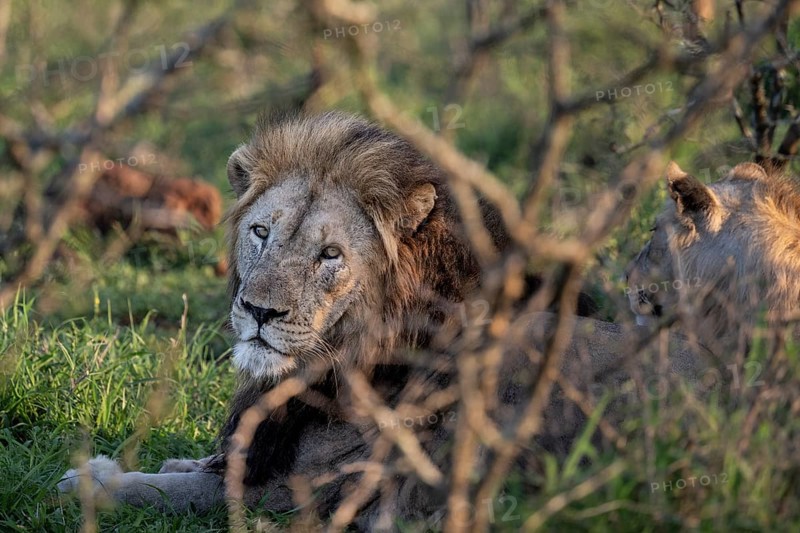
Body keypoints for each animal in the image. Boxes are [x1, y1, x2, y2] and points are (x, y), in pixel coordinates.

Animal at [58, 113, 708, 529]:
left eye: (330, 255)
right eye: (261, 232)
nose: (258, 311)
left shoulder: (296, 492)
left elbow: (175, 492)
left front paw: (91, 481)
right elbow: (199, 464)